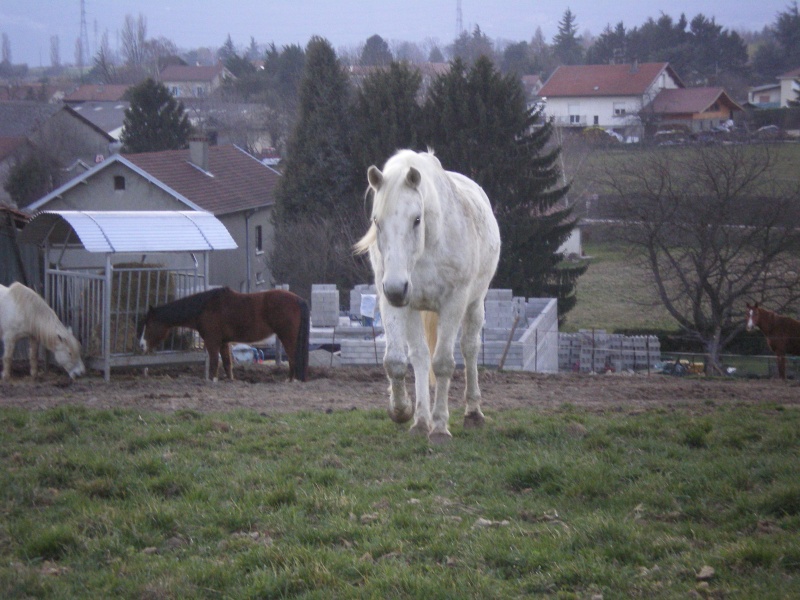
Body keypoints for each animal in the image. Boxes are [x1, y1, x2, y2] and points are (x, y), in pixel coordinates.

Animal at [141, 288, 310, 382]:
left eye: (149, 324)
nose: (142, 345)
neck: (205, 308)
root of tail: (297, 299)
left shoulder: (212, 341)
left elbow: (215, 362)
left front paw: (212, 379)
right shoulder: (223, 342)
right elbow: (227, 363)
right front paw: (230, 380)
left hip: (287, 337)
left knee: (292, 358)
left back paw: (290, 379)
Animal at [354, 148, 496, 442]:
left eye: (416, 219)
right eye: (377, 222)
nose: (396, 288)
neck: (428, 247)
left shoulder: (453, 303)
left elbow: (443, 363)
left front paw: (440, 427)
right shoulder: (396, 302)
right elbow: (397, 361)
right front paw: (403, 411)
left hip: (475, 303)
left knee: (469, 348)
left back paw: (473, 413)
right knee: (420, 356)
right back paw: (421, 420)